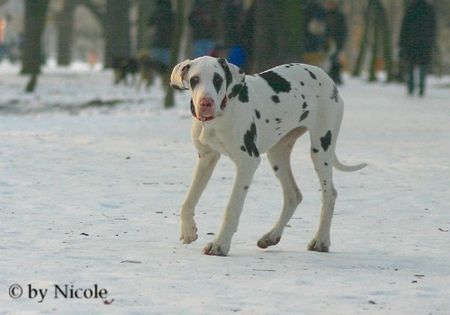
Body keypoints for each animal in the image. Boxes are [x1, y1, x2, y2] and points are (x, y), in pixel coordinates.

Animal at [170, 56, 366, 258]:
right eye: (194, 80)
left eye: (218, 79)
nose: (206, 103)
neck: (220, 116)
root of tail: (326, 76)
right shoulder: (206, 159)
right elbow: (188, 201)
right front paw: (188, 230)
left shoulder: (248, 162)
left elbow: (232, 208)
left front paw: (220, 244)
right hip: (277, 154)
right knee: (293, 195)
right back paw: (271, 237)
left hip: (321, 149)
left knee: (329, 195)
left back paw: (321, 240)